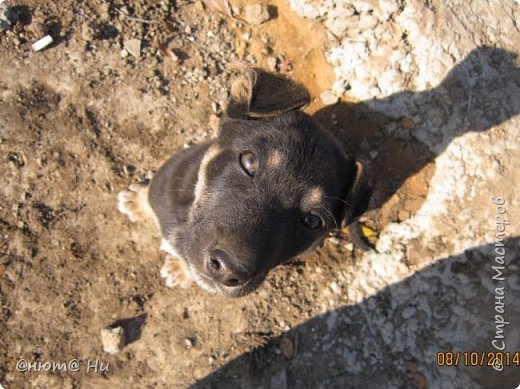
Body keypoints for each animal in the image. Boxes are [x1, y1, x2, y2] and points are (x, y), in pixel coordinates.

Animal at [118, 68, 370, 296]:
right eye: (248, 162)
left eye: (311, 220)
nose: (228, 269)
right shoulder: (166, 178)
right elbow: (150, 193)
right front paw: (136, 201)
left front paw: (180, 270)